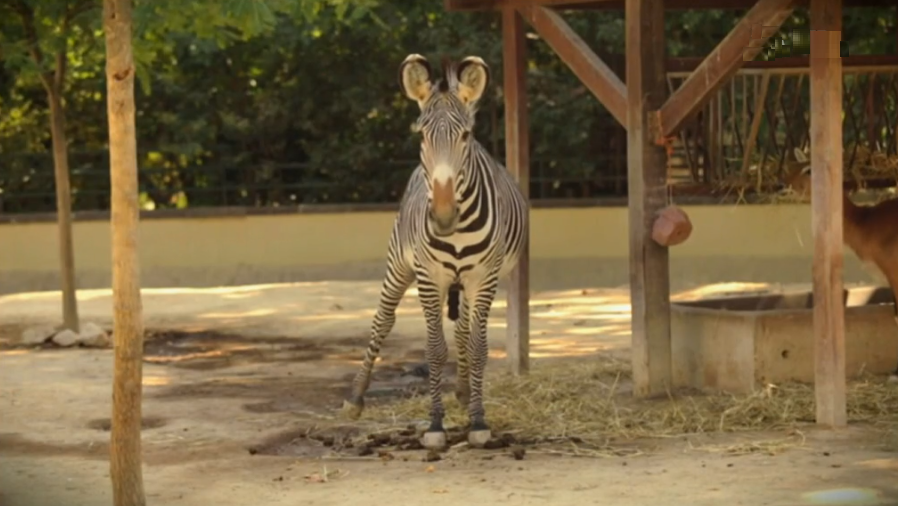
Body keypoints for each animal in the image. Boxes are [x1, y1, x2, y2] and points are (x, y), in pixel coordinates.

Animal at [341, 54, 529, 450]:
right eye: (422, 135)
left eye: (466, 135)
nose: (443, 216)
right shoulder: (429, 278)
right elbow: (434, 349)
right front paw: (435, 424)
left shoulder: (483, 278)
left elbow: (477, 347)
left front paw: (477, 420)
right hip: (398, 264)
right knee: (383, 320)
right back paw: (355, 397)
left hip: (468, 283)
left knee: (463, 331)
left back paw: (464, 391)